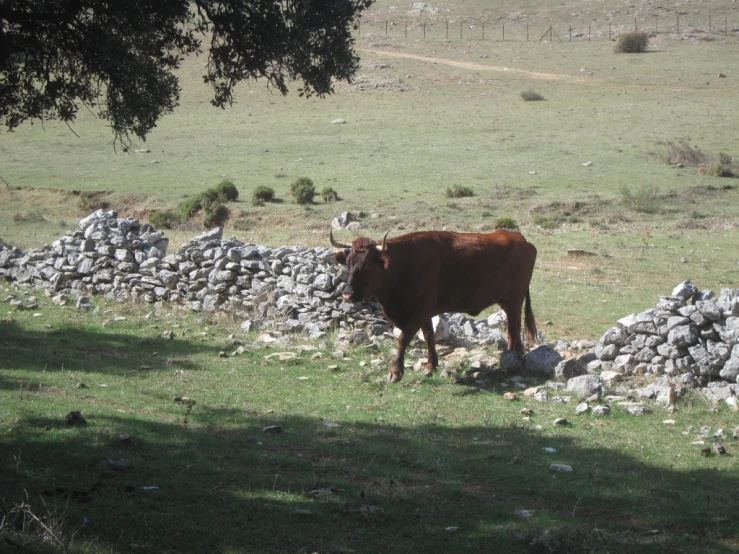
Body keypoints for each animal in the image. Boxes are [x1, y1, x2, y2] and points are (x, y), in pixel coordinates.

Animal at [330, 227, 536, 380]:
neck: (403, 266)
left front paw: (396, 371)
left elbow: (403, 338)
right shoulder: (424, 313)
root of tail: (520, 238)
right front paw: (431, 366)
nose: (347, 295)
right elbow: (428, 336)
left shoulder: (420, 311)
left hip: (514, 301)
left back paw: (510, 362)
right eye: (348, 264)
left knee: (513, 332)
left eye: (368, 266)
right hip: (507, 302)